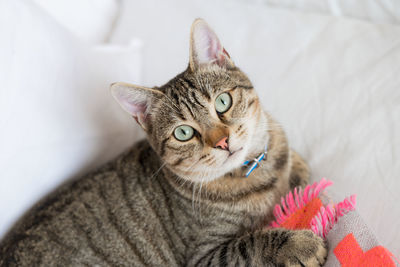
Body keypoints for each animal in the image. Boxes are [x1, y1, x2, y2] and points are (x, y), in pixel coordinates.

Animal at [0, 19, 326, 267]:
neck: (255, 171)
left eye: (223, 102)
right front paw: (300, 245)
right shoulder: (203, 257)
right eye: (183, 133)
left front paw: (296, 168)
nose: (222, 141)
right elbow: (248, 244)